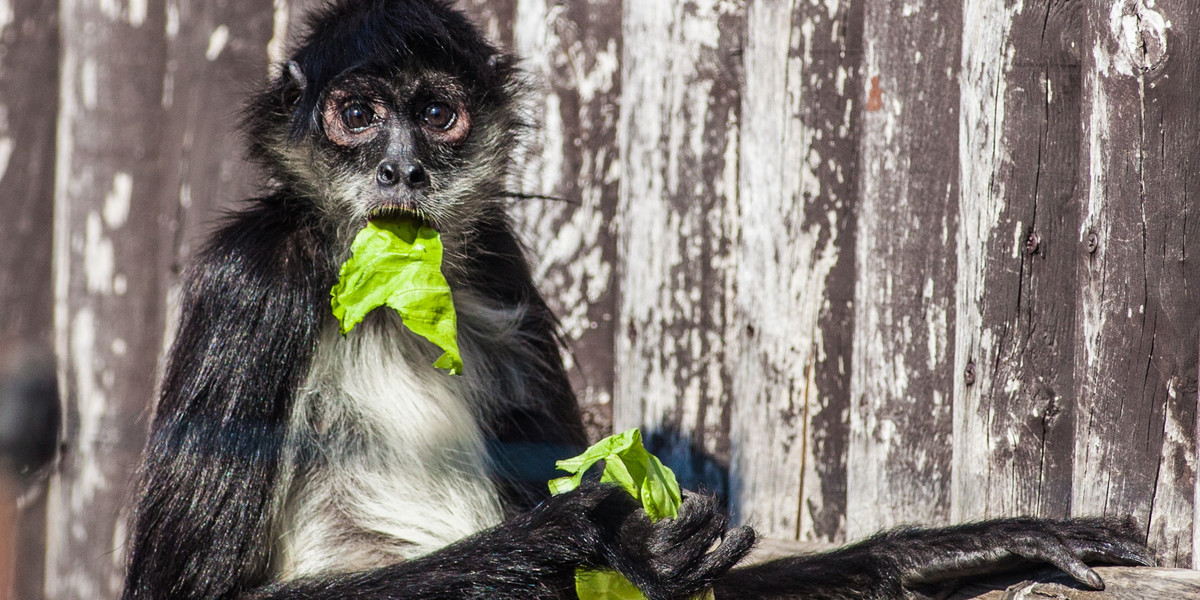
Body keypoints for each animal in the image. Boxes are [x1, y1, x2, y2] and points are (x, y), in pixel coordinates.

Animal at [119, 1, 1152, 600]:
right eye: (359, 115)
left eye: (438, 114)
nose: (402, 167)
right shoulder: (251, 283)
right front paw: (592, 534)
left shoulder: (498, 265)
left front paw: (961, 550)